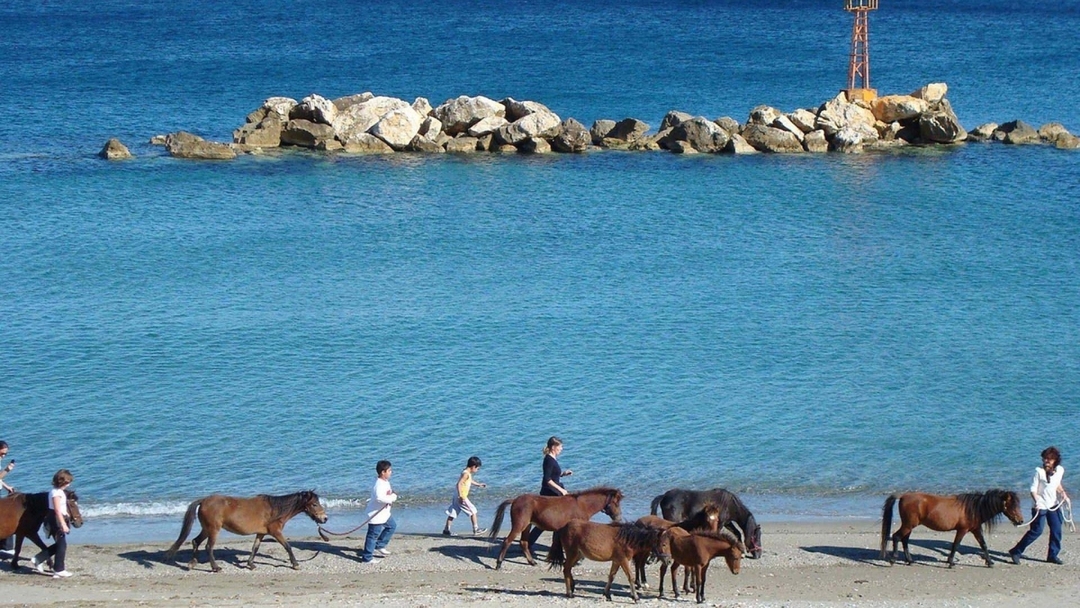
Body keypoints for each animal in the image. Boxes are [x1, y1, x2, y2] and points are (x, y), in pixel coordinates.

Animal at [164, 490, 327, 572]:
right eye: (314, 504)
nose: (324, 518)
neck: (275, 509)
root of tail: (203, 501)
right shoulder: (275, 532)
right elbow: (288, 547)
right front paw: (295, 564)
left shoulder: (261, 533)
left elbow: (255, 548)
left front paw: (250, 564)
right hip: (213, 530)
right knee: (208, 546)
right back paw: (215, 567)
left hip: (206, 529)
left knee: (195, 541)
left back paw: (192, 563)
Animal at [489, 486, 623, 569]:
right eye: (615, 502)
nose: (618, 517)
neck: (582, 506)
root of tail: (515, 500)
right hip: (519, 525)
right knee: (507, 541)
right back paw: (499, 564)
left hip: (527, 525)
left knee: (523, 543)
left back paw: (532, 562)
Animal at [880, 489, 1024, 568]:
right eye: (1012, 506)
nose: (1020, 521)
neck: (973, 508)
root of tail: (903, 496)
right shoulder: (962, 530)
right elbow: (955, 545)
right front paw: (950, 562)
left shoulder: (976, 529)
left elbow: (983, 545)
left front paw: (989, 562)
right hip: (908, 525)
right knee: (896, 537)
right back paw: (893, 559)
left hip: (909, 526)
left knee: (904, 540)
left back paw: (910, 560)